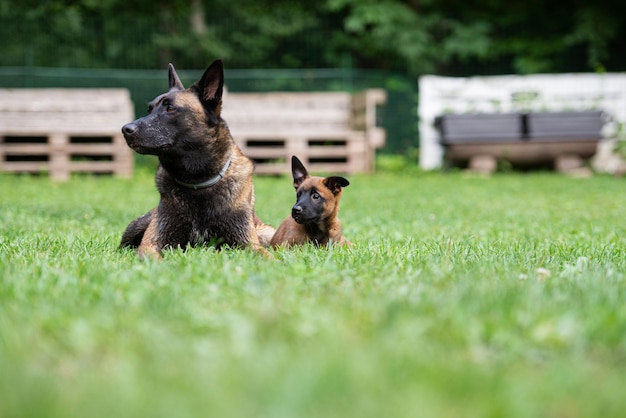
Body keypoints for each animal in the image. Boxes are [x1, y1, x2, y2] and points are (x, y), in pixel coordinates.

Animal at [119, 58, 272, 258]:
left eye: (170, 108)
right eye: (149, 109)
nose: (125, 129)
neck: (198, 183)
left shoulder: (249, 245)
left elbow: (266, 256)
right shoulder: (151, 243)